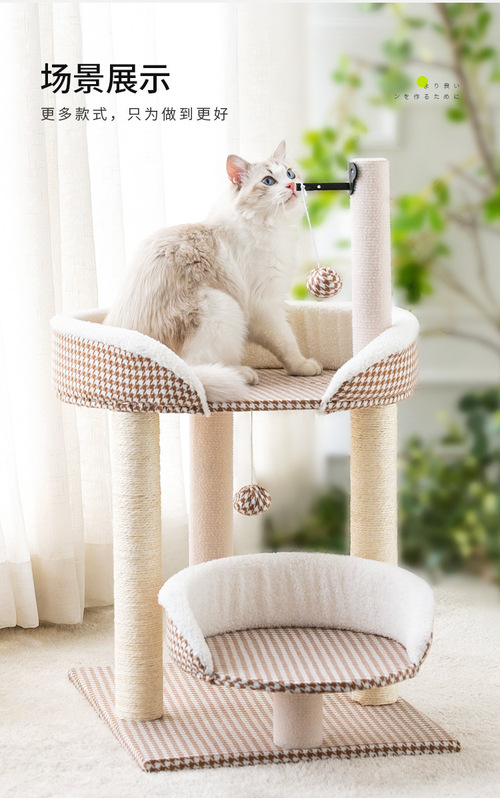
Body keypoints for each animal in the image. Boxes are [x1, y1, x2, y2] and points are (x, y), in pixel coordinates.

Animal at [104, 140, 322, 401]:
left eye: (289, 174)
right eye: (269, 181)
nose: (292, 185)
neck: (271, 227)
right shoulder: (264, 306)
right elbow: (287, 342)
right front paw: (303, 365)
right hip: (222, 305)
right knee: (196, 368)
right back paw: (243, 374)